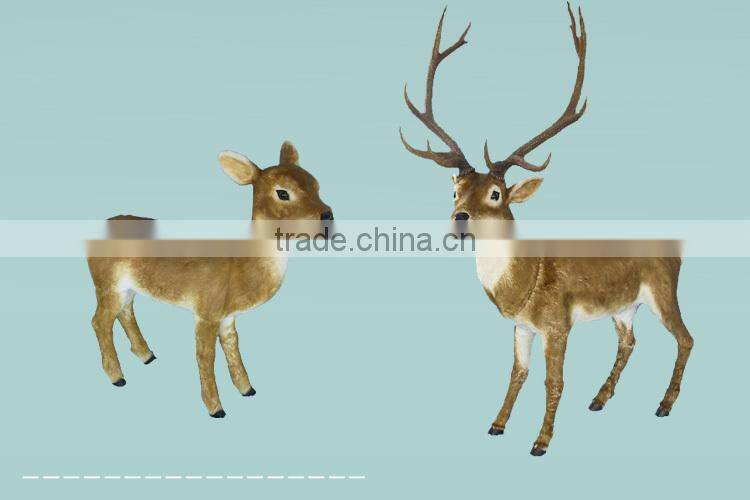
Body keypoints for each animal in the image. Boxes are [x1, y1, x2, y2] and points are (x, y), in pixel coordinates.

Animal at [87, 141, 333, 417]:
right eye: (282, 193)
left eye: (316, 184)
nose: (327, 216)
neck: (239, 268)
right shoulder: (206, 310)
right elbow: (205, 355)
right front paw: (216, 408)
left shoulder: (227, 316)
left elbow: (232, 347)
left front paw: (247, 389)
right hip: (106, 283)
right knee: (99, 321)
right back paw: (117, 376)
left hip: (127, 287)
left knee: (125, 312)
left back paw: (146, 355)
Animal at [400, 4, 693, 455]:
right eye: (455, 190)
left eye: (496, 193)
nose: (459, 218)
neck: (523, 283)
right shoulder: (521, 326)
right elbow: (517, 375)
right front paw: (496, 424)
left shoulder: (558, 323)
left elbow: (553, 381)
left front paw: (540, 442)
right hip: (624, 306)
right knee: (629, 342)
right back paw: (600, 398)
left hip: (663, 290)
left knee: (686, 338)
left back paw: (664, 404)